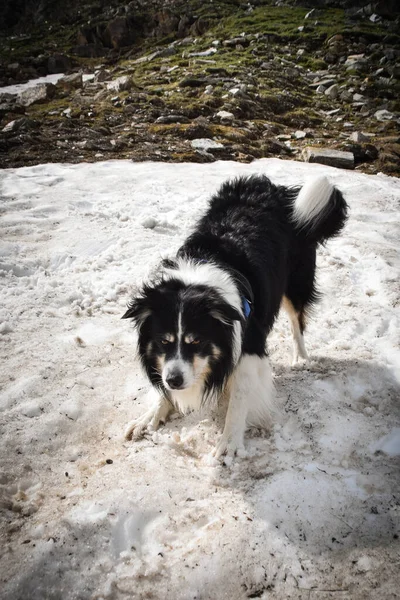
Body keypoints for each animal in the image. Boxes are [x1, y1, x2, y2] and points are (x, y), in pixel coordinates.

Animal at [122, 176, 346, 458]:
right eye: (164, 340)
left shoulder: (249, 344)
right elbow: (163, 386)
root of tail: (275, 188)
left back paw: (301, 357)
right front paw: (149, 417)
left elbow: (239, 397)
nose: (174, 380)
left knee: (298, 321)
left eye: (197, 341)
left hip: (296, 281)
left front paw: (229, 443)